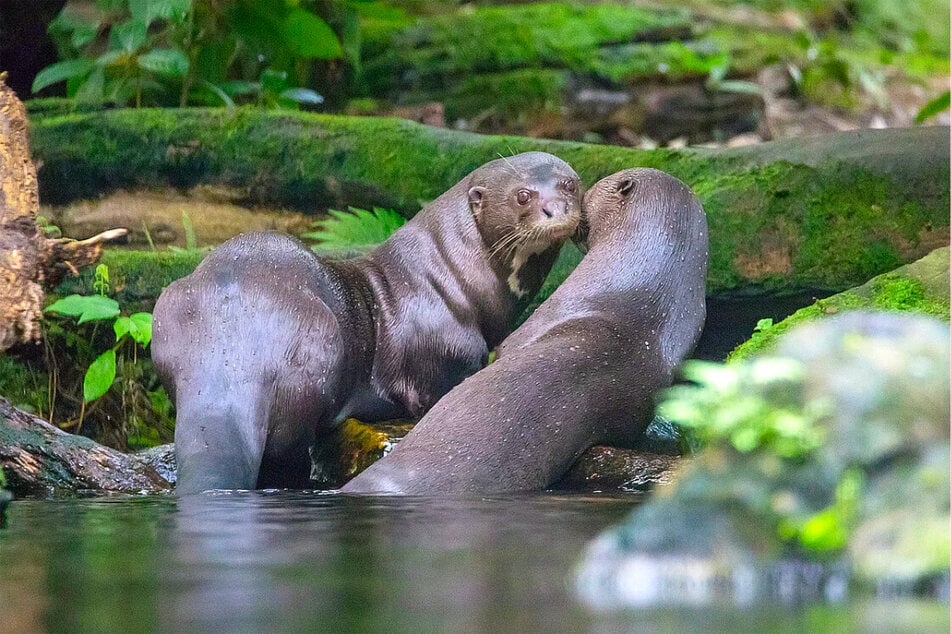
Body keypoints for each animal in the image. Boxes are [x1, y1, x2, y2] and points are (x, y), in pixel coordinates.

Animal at [153, 153, 584, 494]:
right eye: (523, 195)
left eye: (569, 184)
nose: (556, 209)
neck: (453, 279)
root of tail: (231, 349)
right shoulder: (449, 357)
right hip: (319, 352)